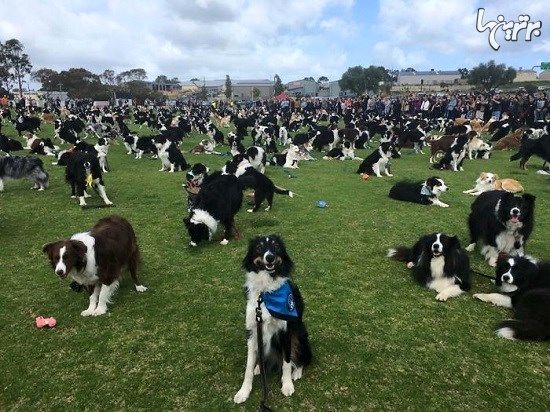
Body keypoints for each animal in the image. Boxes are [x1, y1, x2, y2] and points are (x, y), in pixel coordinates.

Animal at [236, 233, 314, 404]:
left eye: (276, 247)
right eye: (259, 247)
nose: (270, 257)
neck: (266, 293)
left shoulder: (286, 331)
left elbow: (287, 362)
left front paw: (287, 385)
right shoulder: (252, 330)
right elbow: (248, 365)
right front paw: (244, 391)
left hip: (300, 334)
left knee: (300, 359)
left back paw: (296, 372)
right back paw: (259, 367)